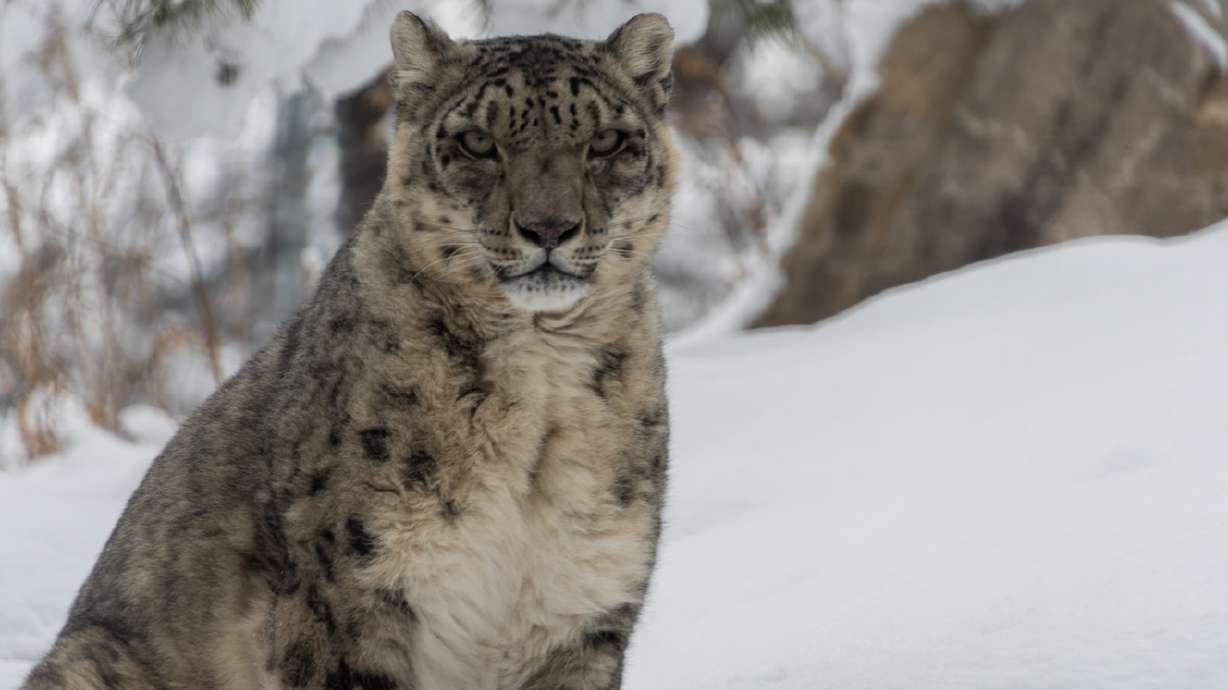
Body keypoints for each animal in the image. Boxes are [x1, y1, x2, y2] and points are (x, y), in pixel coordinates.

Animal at [22, 10, 678, 690]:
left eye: (606, 142)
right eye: (476, 141)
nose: (549, 227)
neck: (544, 379)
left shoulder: (582, 602)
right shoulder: (349, 595)